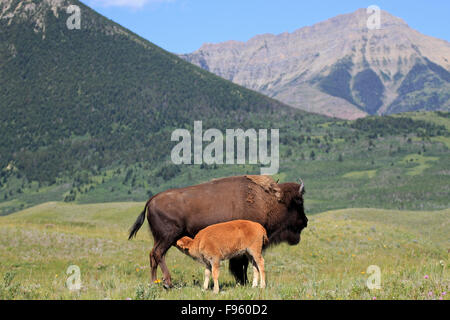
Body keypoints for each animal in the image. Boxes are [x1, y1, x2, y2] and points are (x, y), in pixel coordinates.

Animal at [128, 175, 308, 288]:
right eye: (299, 201)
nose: (305, 221)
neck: (269, 201)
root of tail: (151, 200)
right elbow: (241, 265)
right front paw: (243, 282)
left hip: (160, 238)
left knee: (153, 256)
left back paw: (154, 283)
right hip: (168, 237)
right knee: (158, 254)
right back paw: (167, 283)